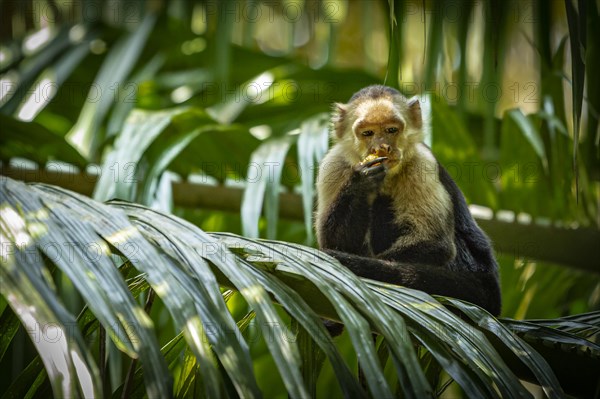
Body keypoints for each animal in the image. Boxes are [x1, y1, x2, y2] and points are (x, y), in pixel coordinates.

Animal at [316, 86, 500, 322]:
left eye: (391, 130)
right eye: (368, 133)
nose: (383, 147)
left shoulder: (422, 163)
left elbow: (436, 243)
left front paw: (364, 267)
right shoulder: (333, 165)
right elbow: (333, 241)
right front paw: (360, 183)